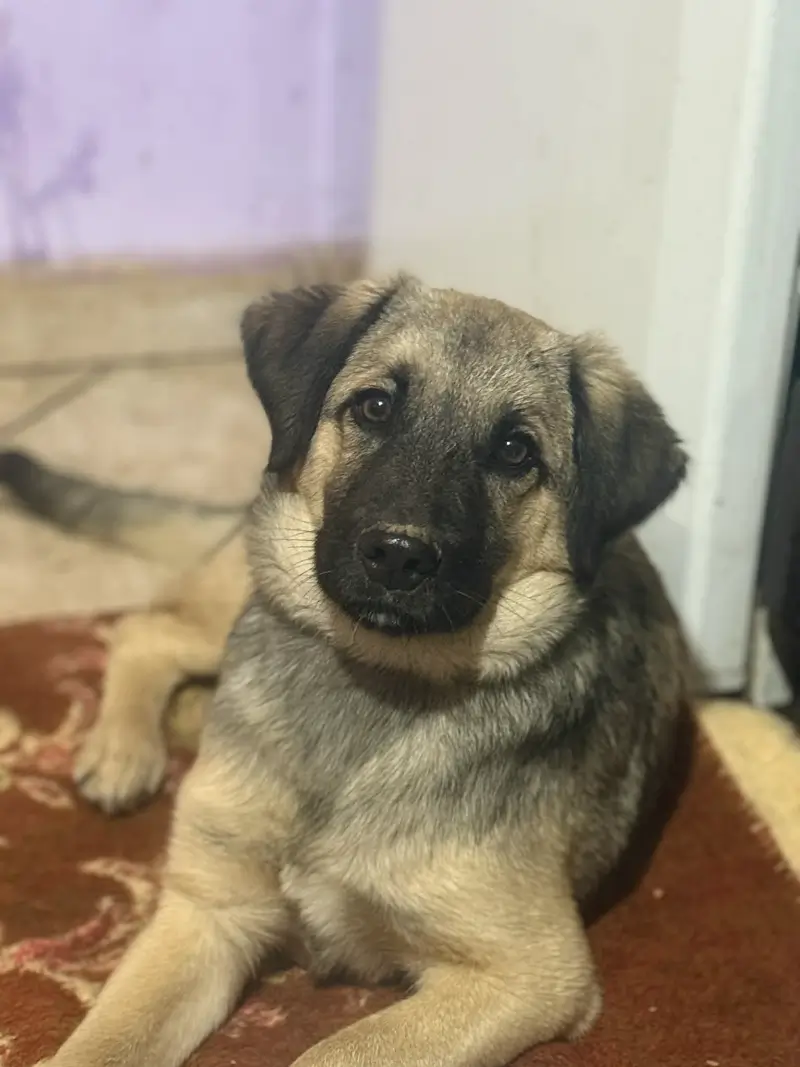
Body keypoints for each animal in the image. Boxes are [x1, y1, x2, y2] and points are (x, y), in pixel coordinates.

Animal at [3, 275, 693, 1066]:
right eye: (375, 406)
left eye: (516, 451)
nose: (398, 555)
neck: (371, 678)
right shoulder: (205, 912)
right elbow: (102, 1042)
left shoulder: (526, 974)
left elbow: (330, 1052)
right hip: (231, 602)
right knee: (145, 631)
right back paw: (123, 749)